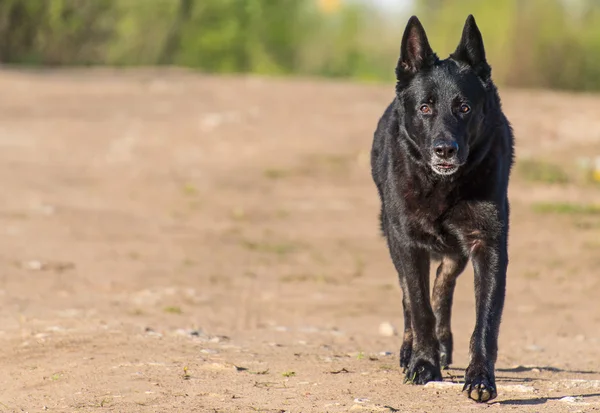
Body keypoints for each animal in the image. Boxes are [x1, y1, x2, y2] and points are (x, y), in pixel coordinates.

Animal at [372, 14, 512, 400]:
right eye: (425, 107)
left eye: (464, 107)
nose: (445, 149)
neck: (443, 186)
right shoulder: (407, 242)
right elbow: (418, 307)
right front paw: (422, 364)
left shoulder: (487, 244)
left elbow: (486, 321)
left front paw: (480, 378)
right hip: (394, 239)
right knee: (410, 296)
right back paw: (411, 350)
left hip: (456, 250)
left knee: (443, 283)